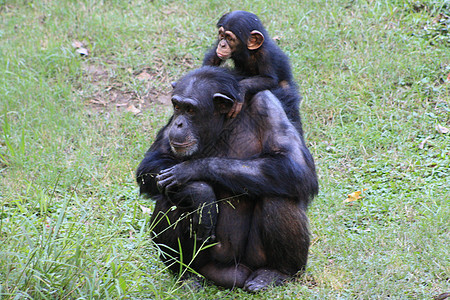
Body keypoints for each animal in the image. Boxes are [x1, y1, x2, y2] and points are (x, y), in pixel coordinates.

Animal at [135, 67, 318, 292]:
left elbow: (295, 164)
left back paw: (275, 273)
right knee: (170, 200)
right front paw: (201, 193)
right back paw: (186, 274)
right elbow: (151, 164)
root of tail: (232, 275)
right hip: (206, 264)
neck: (224, 122)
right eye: (177, 106)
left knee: (280, 198)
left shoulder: (267, 106)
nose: (178, 124)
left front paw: (191, 169)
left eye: (190, 110)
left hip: (254, 260)